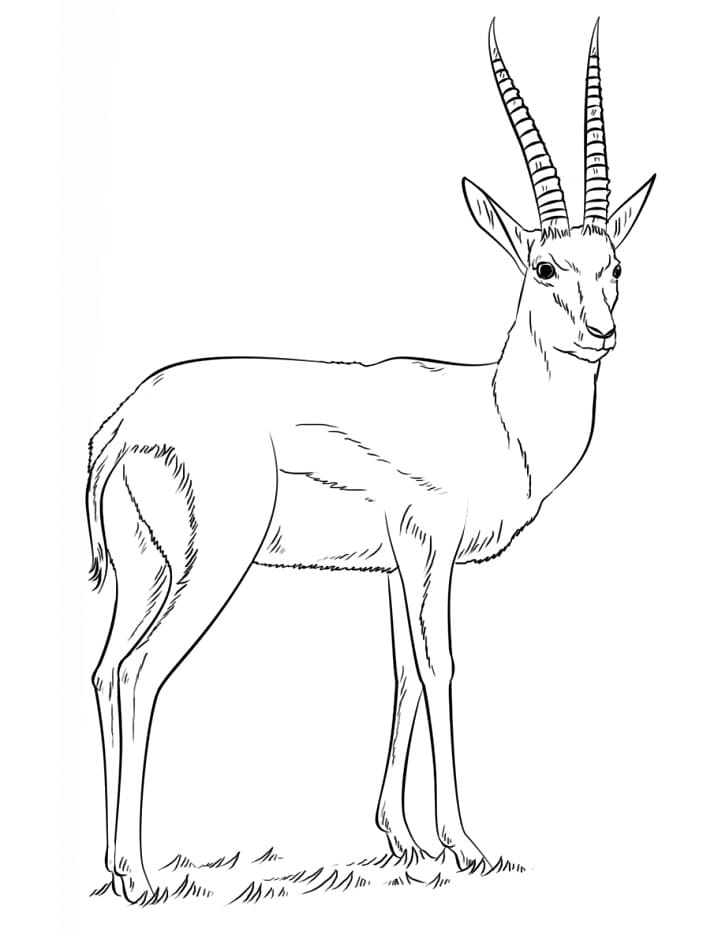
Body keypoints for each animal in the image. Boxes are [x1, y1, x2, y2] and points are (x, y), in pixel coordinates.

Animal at [87, 20, 654, 902]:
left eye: (615, 266)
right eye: (545, 265)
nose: (602, 332)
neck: (493, 412)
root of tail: (123, 422)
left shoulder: (394, 564)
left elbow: (402, 677)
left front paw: (408, 843)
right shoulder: (431, 546)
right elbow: (440, 667)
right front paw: (464, 843)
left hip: (144, 571)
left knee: (106, 671)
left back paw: (115, 866)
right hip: (210, 568)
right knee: (143, 674)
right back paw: (143, 875)